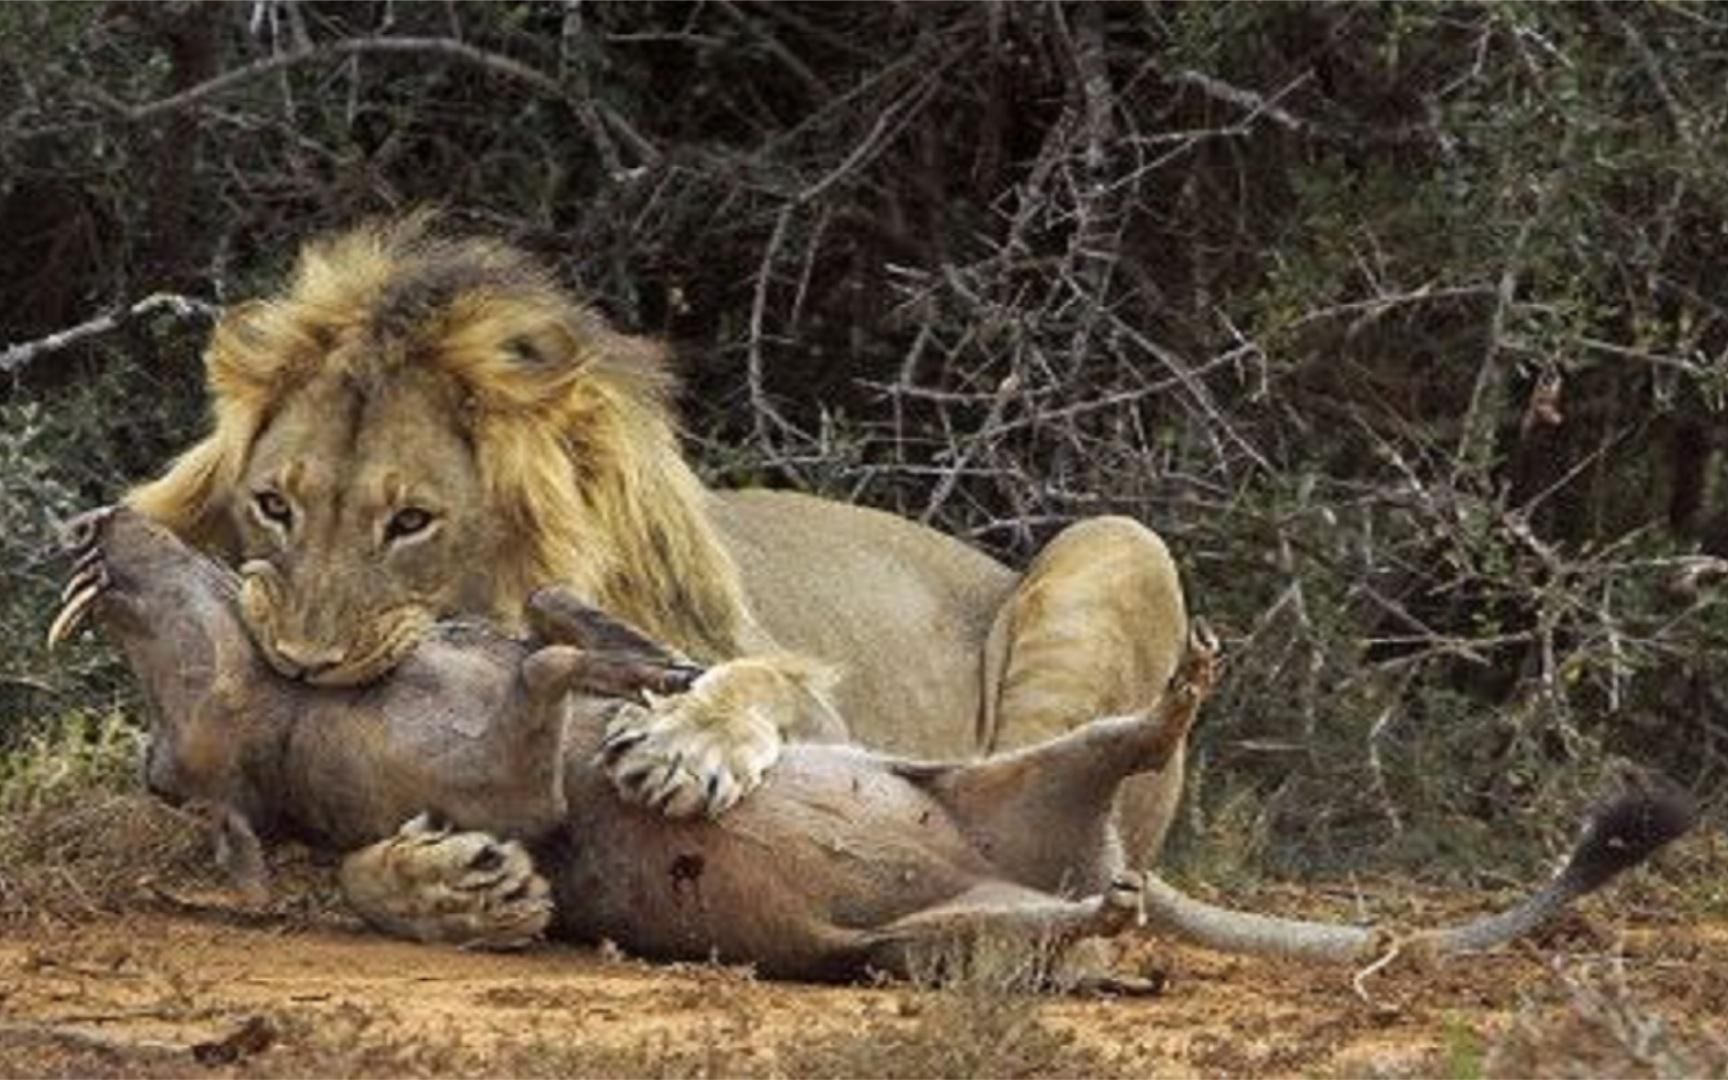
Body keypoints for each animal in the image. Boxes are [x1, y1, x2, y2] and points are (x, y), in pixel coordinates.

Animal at [127, 215, 1188, 940]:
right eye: (275, 505)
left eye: (411, 522)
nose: (300, 665)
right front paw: (446, 887)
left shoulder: (809, 702)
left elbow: (760, 681)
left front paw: (689, 743)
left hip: (1121, 539)